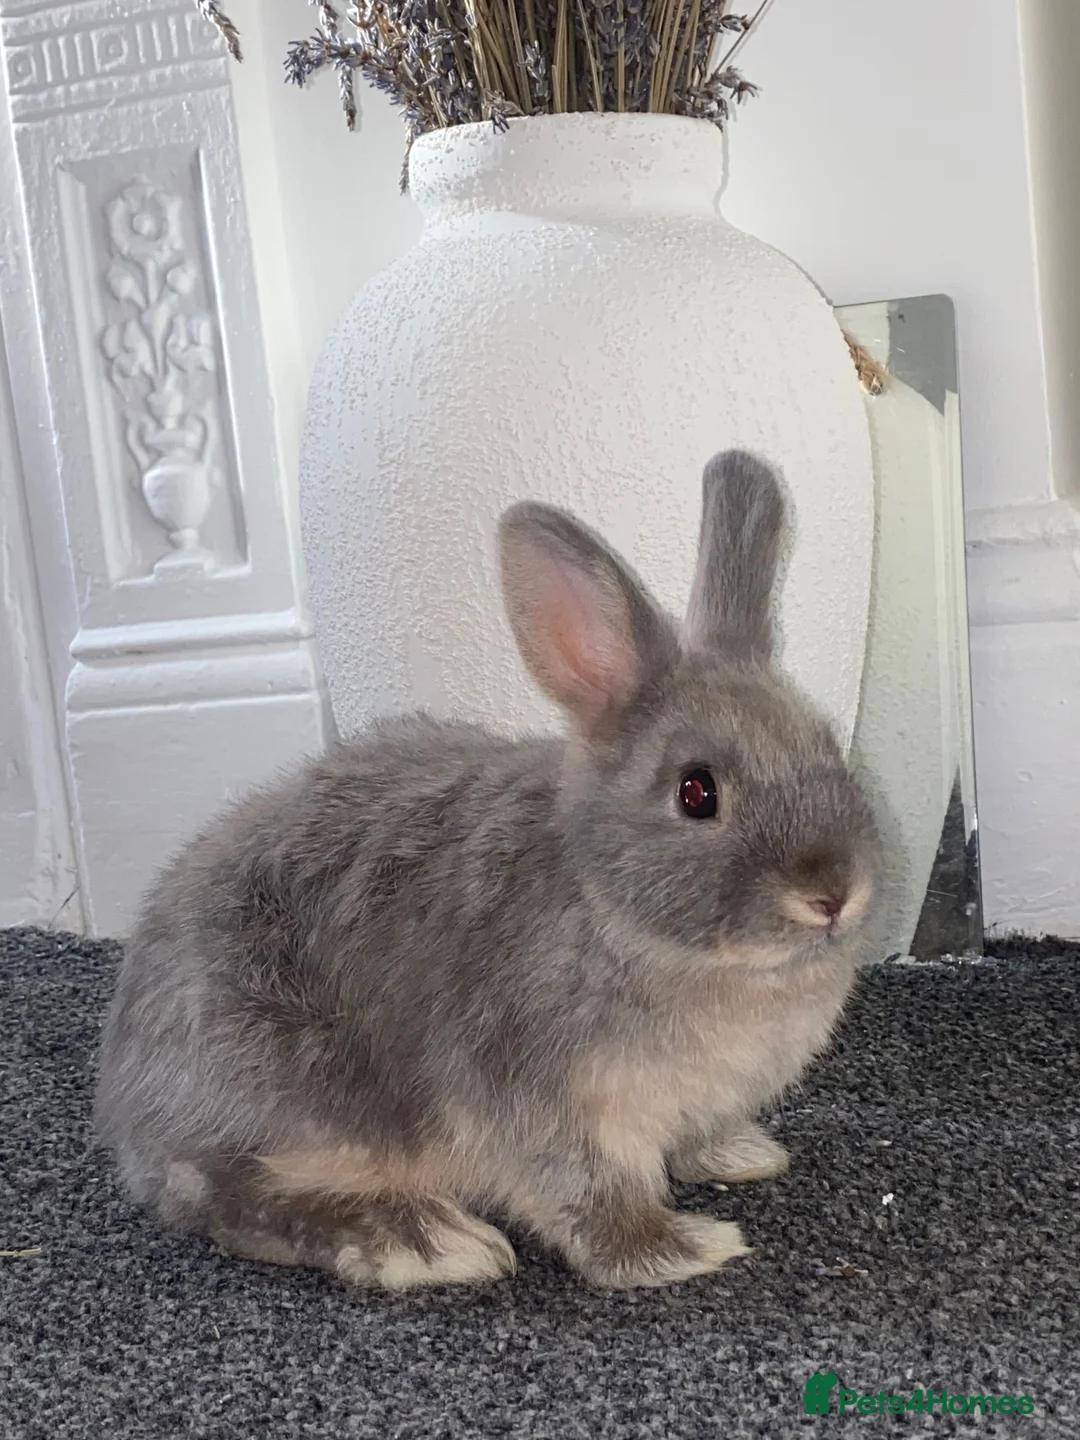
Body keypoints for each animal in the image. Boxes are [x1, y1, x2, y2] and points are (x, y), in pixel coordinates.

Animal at [94, 449, 880, 1292]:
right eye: (697, 792)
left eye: (828, 748)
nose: (832, 895)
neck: (620, 916)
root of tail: (128, 1105)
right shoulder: (548, 1104)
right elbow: (590, 1201)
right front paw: (683, 1248)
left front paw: (744, 1155)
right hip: (278, 1089)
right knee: (224, 1193)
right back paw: (426, 1240)